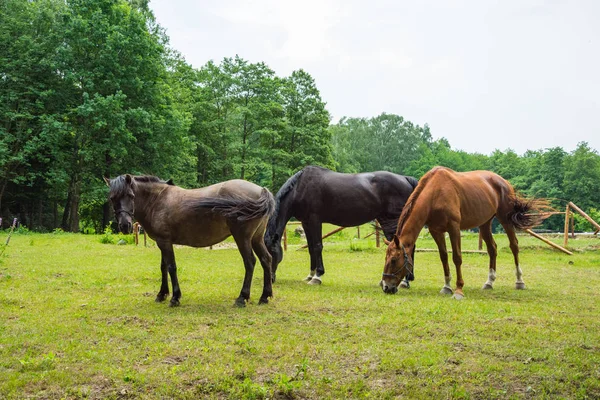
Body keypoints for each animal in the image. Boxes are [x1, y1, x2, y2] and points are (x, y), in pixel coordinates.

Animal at [106, 174, 276, 306]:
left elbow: (171, 267)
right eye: (112, 198)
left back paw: (242, 297)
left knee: (250, 263)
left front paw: (175, 297)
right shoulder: (161, 242)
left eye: (130, 196)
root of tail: (261, 190)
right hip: (256, 239)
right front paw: (162, 294)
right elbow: (163, 267)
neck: (157, 200)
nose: (125, 225)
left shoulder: (165, 242)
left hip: (242, 238)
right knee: (266, 259)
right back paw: (264, 297)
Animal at [264, 166, 420, 284]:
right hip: (387, 221)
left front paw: (317, 276)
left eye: (271, 252)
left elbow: (317, 246)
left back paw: (405, 280)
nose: (270, 279)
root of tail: (405, 179)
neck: (301, 187)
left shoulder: (315, 220)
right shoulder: (306, 223)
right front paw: (310, 274)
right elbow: (310, 248)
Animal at [382, 166, 552, 300]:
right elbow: (444, 257)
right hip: (484, 224)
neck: (435, 193)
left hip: (506, 219)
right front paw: (446, 286)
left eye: (393, 260)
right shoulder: (436, 231)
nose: (385, 287)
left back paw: (519, 281)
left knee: (514, 246)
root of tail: (504, 182)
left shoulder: (454, 228)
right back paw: (489, 282)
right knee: (492, 249)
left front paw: (458, 290)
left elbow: (457, 257)